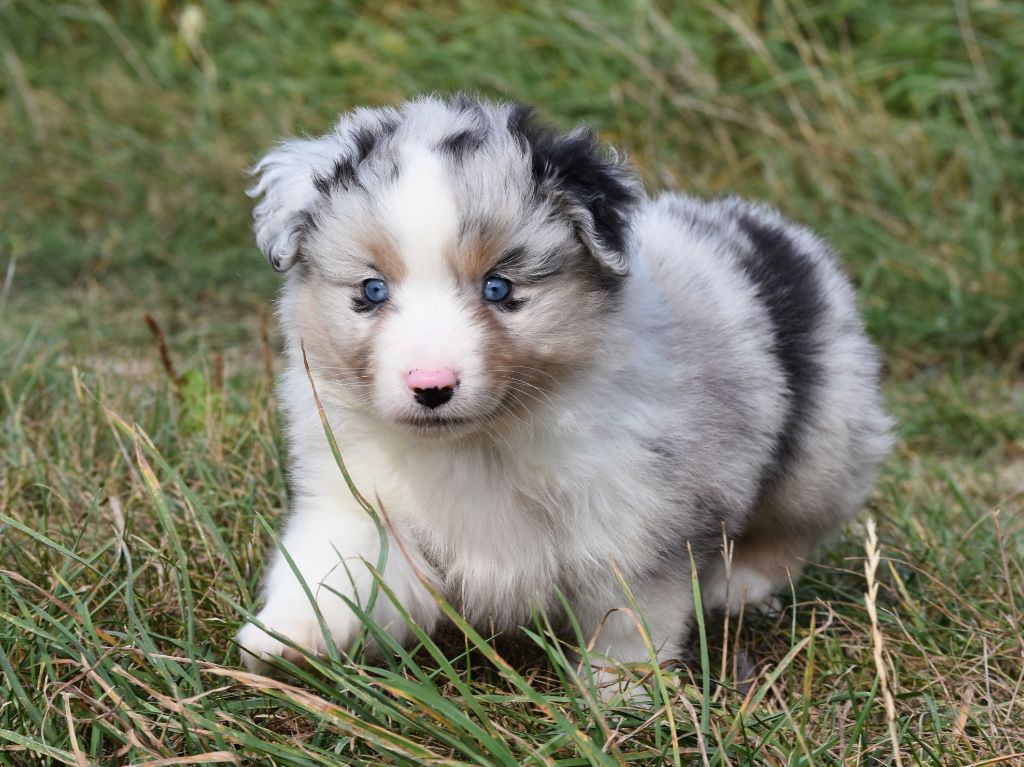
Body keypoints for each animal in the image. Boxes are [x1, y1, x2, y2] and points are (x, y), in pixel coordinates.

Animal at [236, 94, 892, 680]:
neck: (479, 444)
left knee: (792, 526)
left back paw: (738, 587)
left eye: (498, 288)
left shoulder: (636, 519)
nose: (432, 385)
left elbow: (629, 619)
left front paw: (618, 698)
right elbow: (335, 567)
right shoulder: (361, 495)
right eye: (372, 290)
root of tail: (766, 226)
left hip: (826, 443)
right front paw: (279, 635)